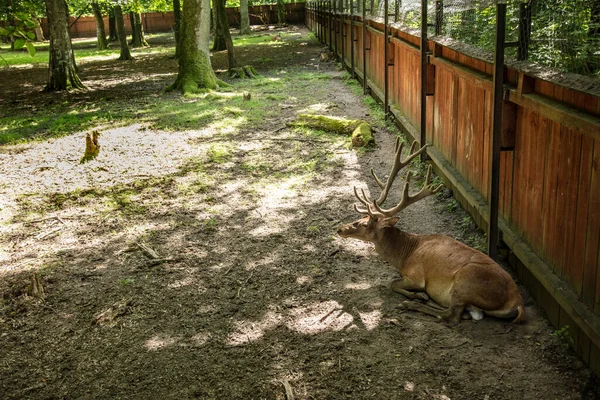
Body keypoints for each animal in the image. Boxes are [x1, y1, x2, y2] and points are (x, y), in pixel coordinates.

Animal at [338, 139, 524, 324]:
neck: (404, 255)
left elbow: (393, 283)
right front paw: (420, 296)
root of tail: (517, 302)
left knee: (452, 315)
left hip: (465, 281)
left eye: (363, 223)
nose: (340, 229)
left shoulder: (416, 275)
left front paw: (416, 295)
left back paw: (411, 304)